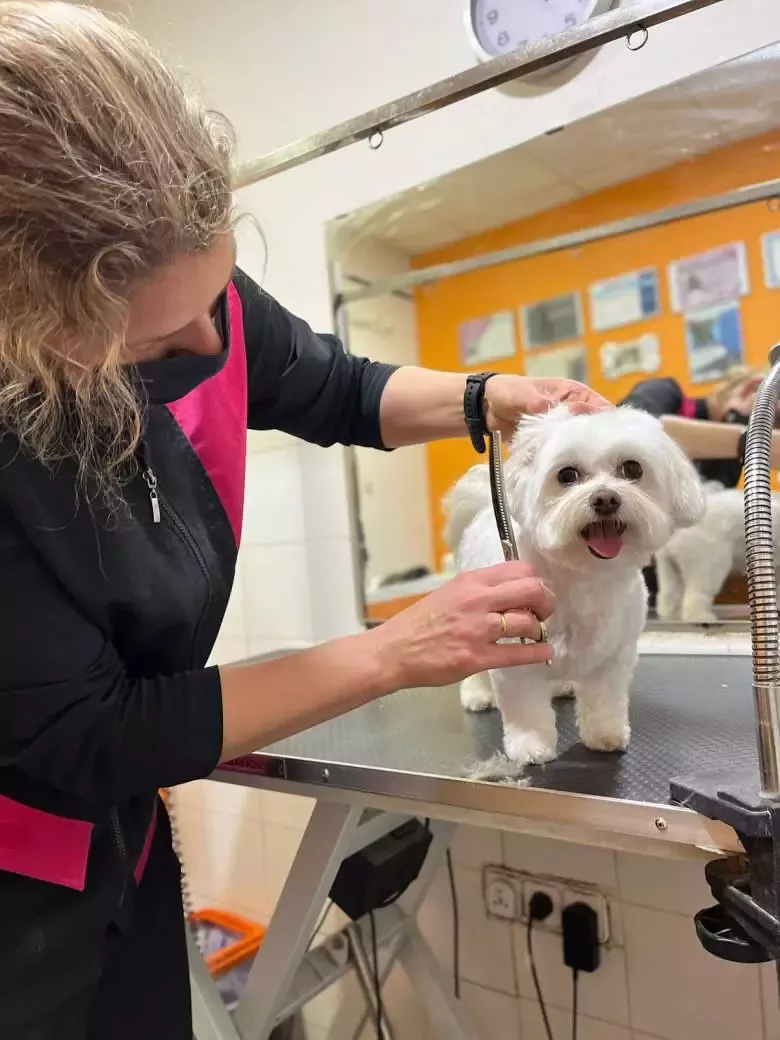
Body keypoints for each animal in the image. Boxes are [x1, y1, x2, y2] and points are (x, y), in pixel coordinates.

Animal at [445, 409, 707, 769]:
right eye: (567, 475)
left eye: (632, 469)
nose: (605, 498)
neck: (582, 578)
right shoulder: (516, 657)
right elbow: (525, 707)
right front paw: (530, 745)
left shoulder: (613, 657)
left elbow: (604, 699)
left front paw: (605, 735)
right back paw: (478, 693)